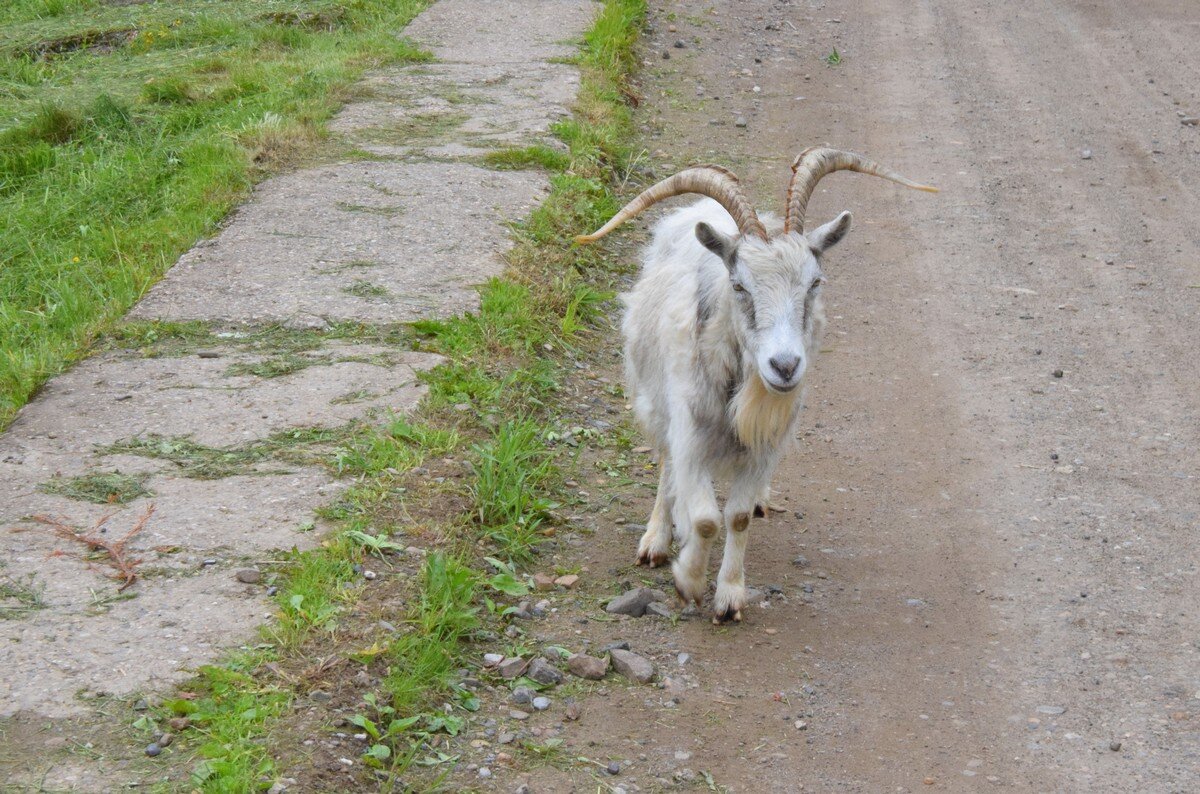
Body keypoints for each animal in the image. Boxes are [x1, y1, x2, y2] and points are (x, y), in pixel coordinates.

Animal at [573, 147, 936, 623]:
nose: (784, 366)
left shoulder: (764, 445)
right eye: (739, 285)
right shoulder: (691, 434)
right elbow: (705, 517)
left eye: (815, 282)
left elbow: (738, 517)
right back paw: (655, 540)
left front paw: (729, 596)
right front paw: (688, 580)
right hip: (658, 399)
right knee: (666, 464)